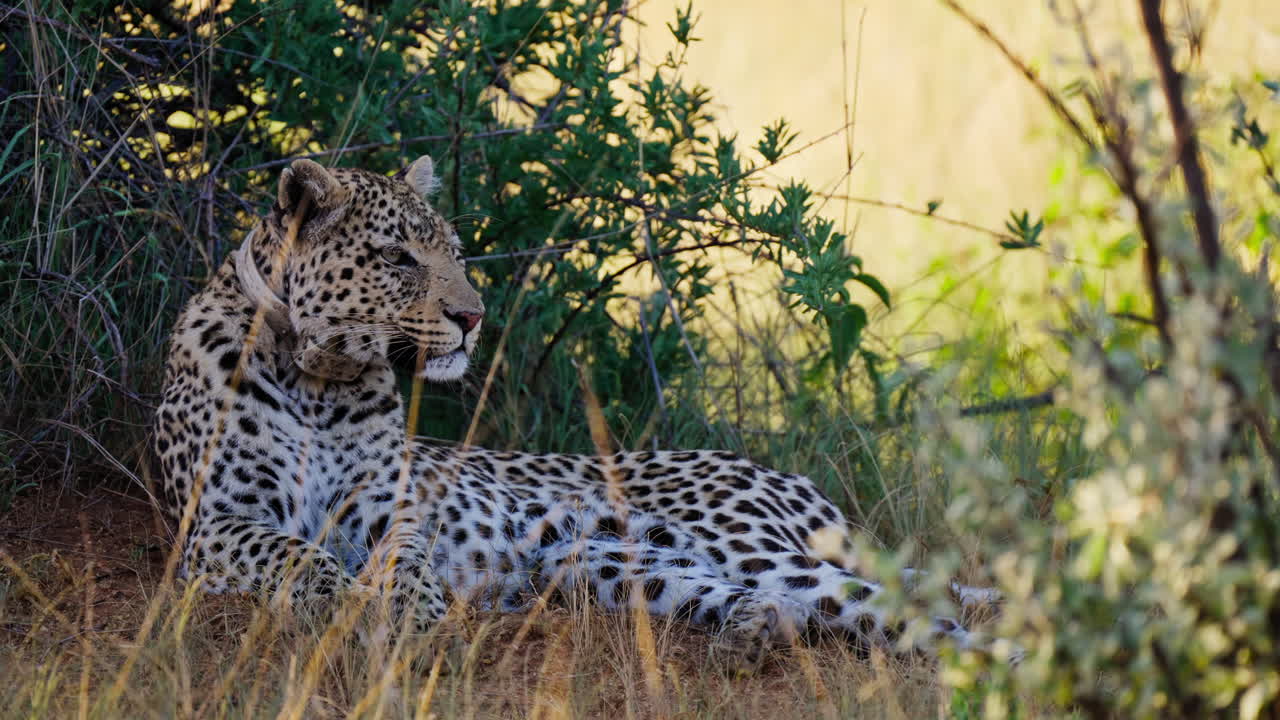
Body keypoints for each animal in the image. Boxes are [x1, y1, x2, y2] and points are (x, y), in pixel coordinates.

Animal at [153, 156, 999, 663]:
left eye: (454, 250)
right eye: (397, 259)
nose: (474, 316)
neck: (321, 381)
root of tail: (778, 474)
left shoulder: (390, 509)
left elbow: (406, 560)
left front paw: (415, 610)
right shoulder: (212, 522)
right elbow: (295, 554)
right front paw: (349, 599)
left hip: (749, 544)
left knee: (917, 603)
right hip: (620, 567)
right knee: (836, 607)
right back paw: (761, 629)